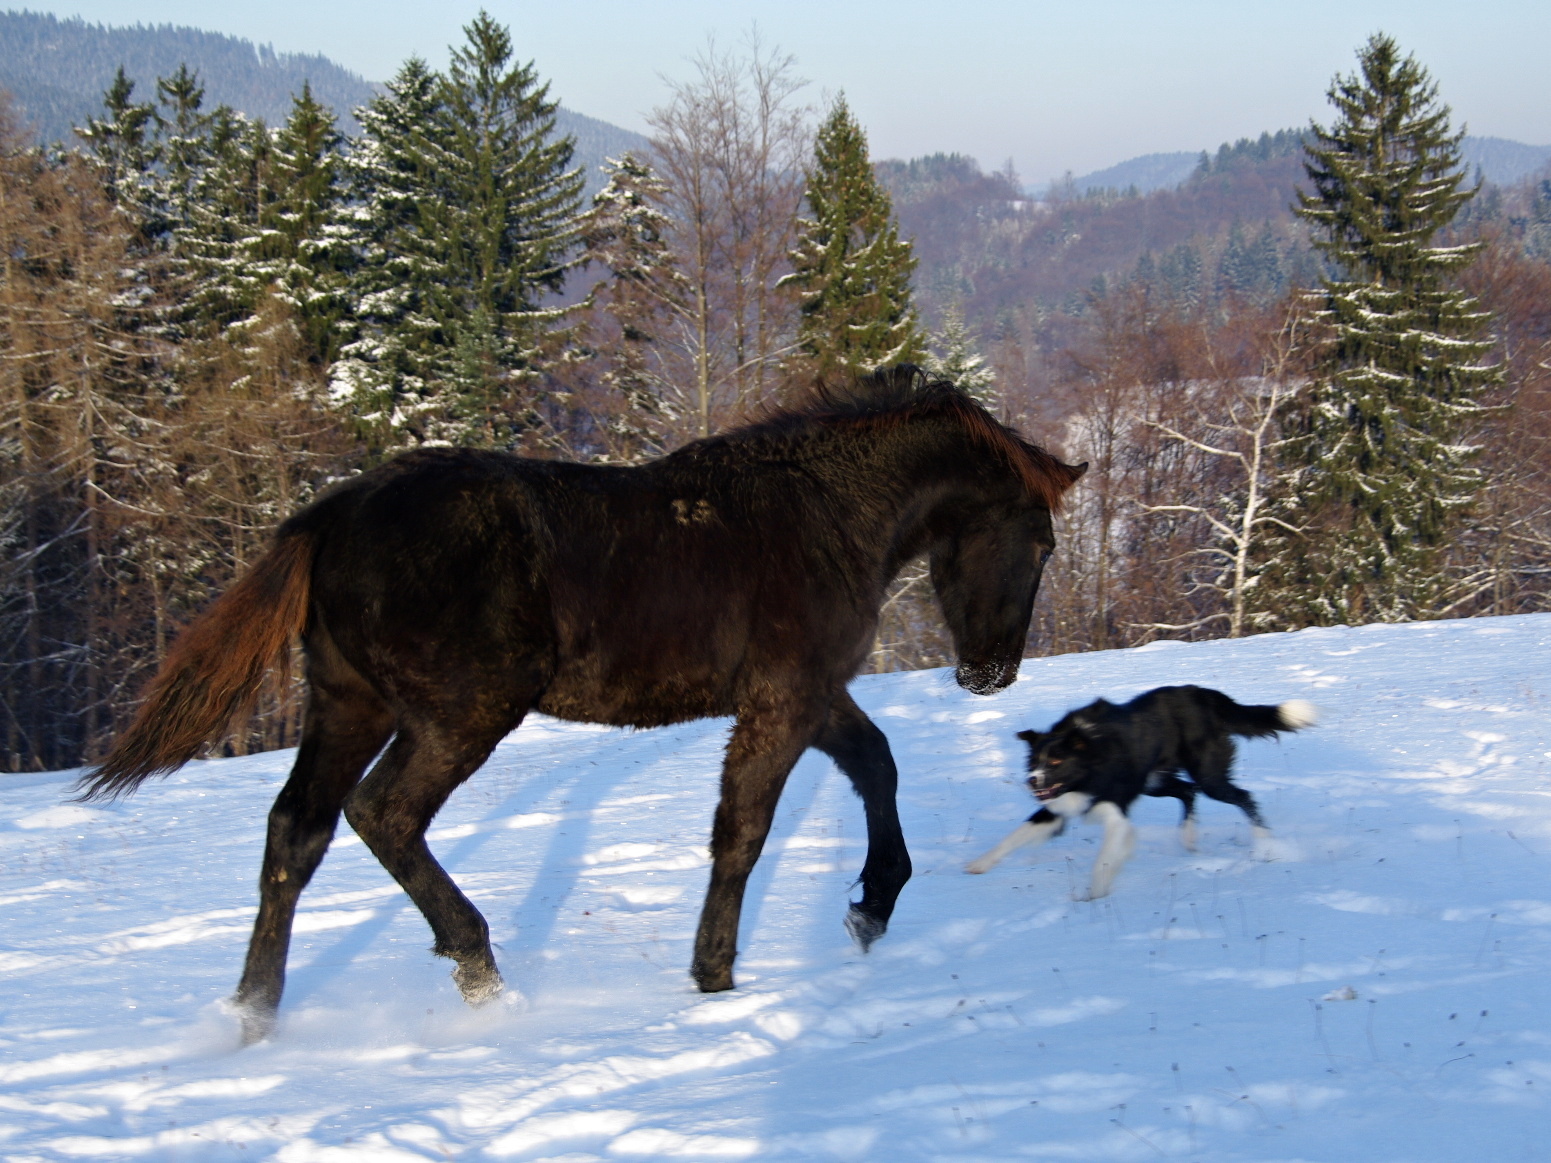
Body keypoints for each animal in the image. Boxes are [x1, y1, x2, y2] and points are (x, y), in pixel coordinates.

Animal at [78, 365, 1085, 1048]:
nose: (992, 674)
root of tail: (332, 515)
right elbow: (743, 829)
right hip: (464, 710)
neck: (822, 513)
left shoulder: (815, 694)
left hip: (348, 703)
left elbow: (876, 763)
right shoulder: (783, 697)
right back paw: (479, 972)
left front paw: (872, 902)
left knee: (298, 831)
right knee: (383, 813)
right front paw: (714, 975)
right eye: (1039, 543)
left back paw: (252, 1016)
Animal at [961, 691, 1315, 899]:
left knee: (1242, 796)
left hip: (1209, 775)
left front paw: (1096, 892)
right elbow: (1014, 836)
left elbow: (1105, 857)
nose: (1032, 781)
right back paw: (1188, 838)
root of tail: (1206, 696)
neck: (1090, 761)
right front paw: (979, 864)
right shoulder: (1057, 807)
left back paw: (1265, 843)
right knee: (1188, 791)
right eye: (1034, 761)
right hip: (1154, 782)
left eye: (1056, 762)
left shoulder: (1113, 811)